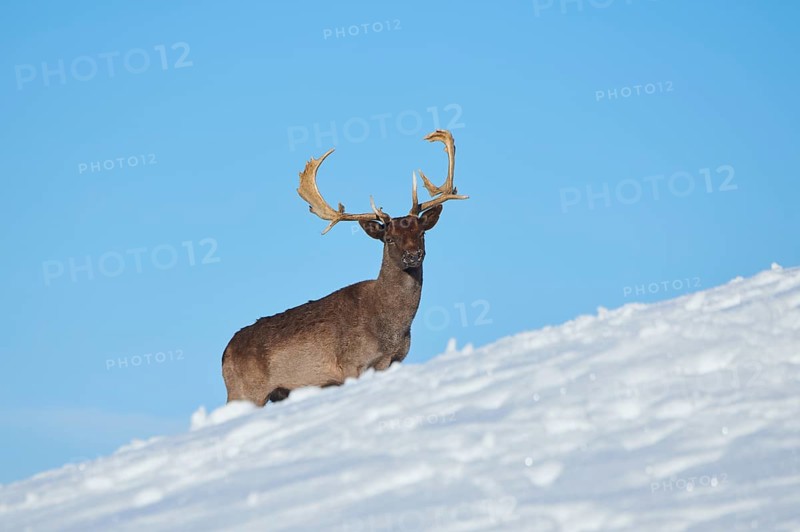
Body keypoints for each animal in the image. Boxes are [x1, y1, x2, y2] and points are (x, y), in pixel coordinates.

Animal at [221, 129, 467, 406]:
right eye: (389, 238)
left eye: (422, 233)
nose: (413, 256)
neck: (391, 329)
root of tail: (224, 354)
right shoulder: (352, 363)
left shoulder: (395, 360)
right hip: (244, 392)